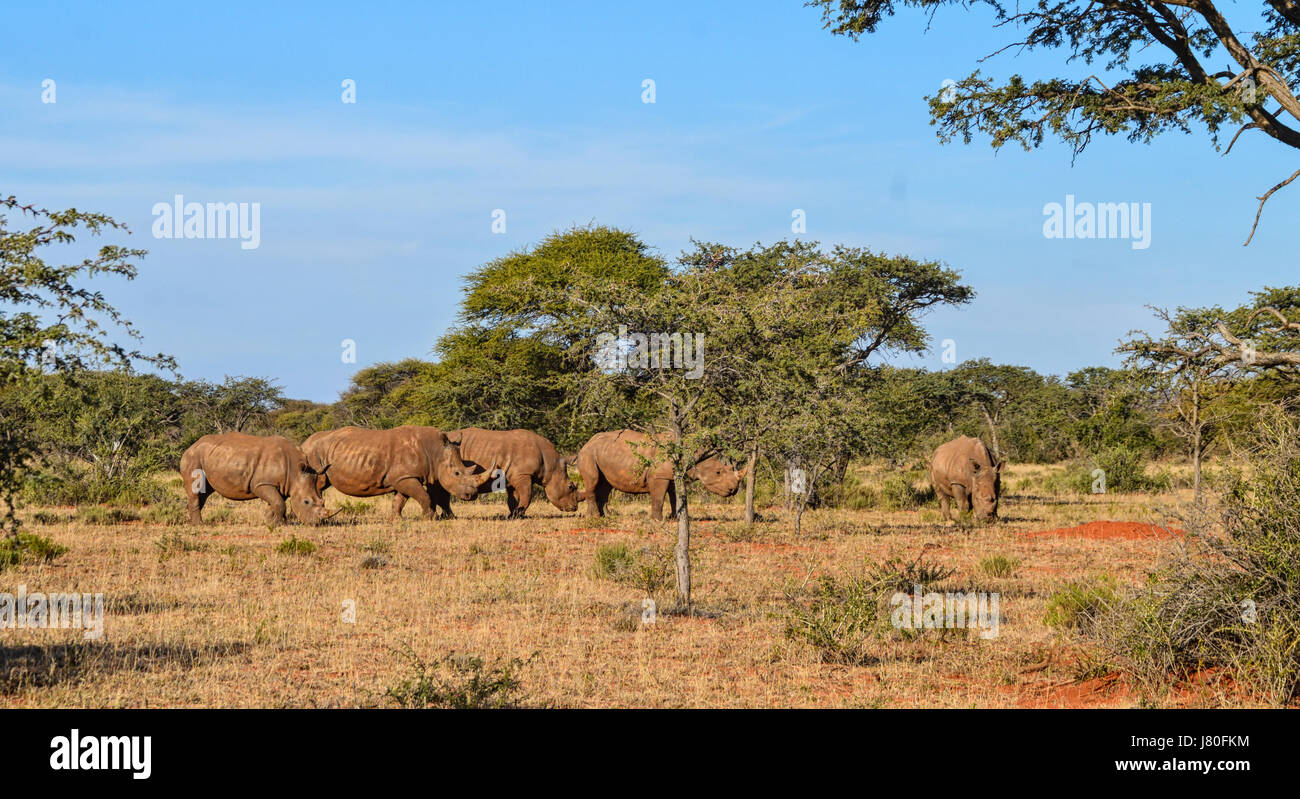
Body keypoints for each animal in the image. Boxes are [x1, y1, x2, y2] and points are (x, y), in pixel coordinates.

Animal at [179, 431, 325, 524]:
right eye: (306, 502)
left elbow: (276, 502)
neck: (295, 472)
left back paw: (192, 522)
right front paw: (277, 524)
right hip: (193, 457)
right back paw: (199, 525)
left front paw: (271, 521)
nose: (316, 522)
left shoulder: (283, 485)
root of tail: (191, 446)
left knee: (204, 493)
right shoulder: (262, 483)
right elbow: (279, 503)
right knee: (196, 490)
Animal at [299, 426, 491, 519]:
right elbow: (424, 496)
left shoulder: (402, 477)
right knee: (317, 483)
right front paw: (431, 517)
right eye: (457, 473)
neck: (436, 452)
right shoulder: (405, 477)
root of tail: (304, 443)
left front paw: (396, 519)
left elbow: (400, 500)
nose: (472, 495)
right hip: (313, 453)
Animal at [426, 428, 579, 522]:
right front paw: (517, 515)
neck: (550, 464)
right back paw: (448, 517)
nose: (574, 508)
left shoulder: (514, 476)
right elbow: (527, 495)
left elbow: (513, 499)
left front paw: (514, 515)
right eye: (570, 486)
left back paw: (445, 517)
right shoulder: (523, 475)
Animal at [577, 428, 748, 522]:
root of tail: (587, 442)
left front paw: (674, 518)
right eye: (718, 472)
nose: (734, 489)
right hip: (588, 454)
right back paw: (594, 518)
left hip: (602, 453)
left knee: (605, 485)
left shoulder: (674, 476)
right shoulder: (659, 476)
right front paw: (657, 521)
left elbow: (674, 497)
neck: (694, 455)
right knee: (593, 481)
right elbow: (659, 498)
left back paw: (607, 516)